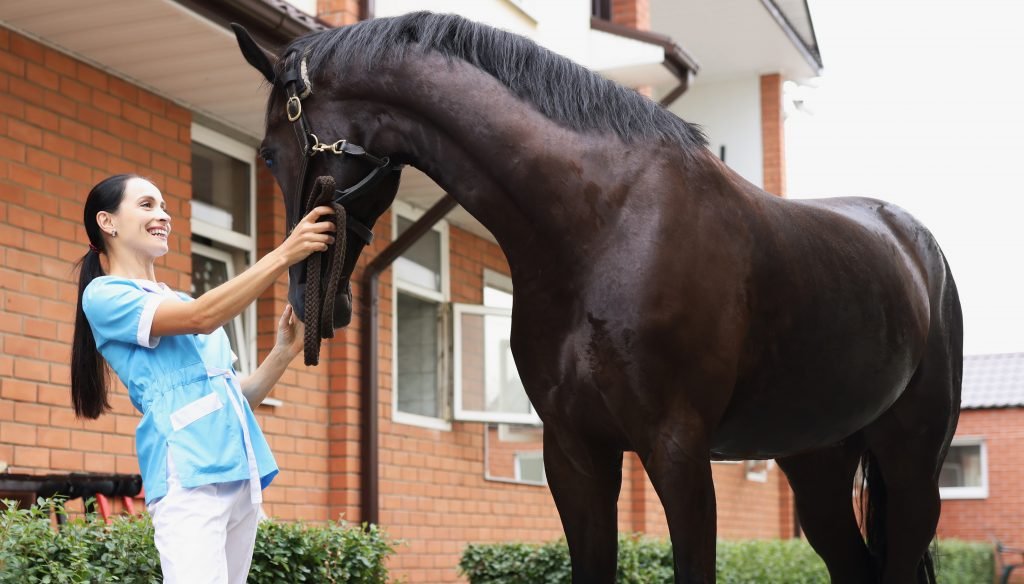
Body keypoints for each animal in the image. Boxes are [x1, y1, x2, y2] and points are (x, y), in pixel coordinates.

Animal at [233, 12, 962, 583]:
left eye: (270, 150)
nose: (308, 301)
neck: (603, 227)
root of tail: (916, 245)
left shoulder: (677, 451)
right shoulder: (574, 453)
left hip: (913, 464)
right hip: (816, 464)